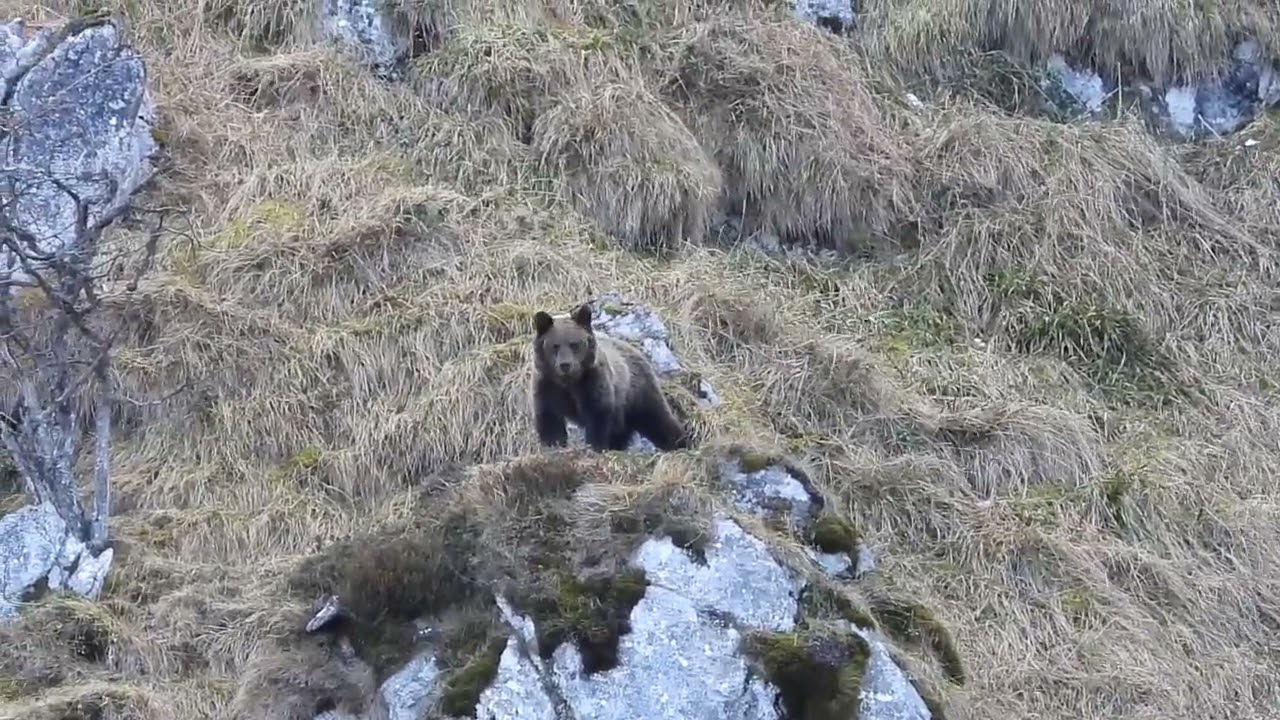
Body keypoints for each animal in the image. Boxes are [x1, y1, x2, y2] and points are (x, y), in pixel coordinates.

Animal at [531, 303, 691, 453]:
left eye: (574, 344)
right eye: (555, 345)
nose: (565, 365)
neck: (569, 382)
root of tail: (635, 349)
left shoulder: (592, 382)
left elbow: (597, 413)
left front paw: (595, 446)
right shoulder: (547, 385)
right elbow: (549, 417)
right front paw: (553, 444)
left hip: (637, 393)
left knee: (658, 419)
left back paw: (681, 443)